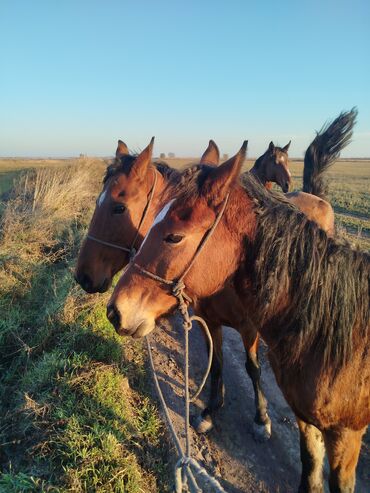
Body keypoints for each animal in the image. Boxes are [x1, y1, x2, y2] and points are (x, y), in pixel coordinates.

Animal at [108, 143, 368, 492]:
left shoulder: (344, 434)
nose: (115, 310)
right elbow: (218, 362)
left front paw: (261, 420)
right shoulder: (306, 421)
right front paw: (209, 411)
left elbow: (252, 368)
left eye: (174, 236)